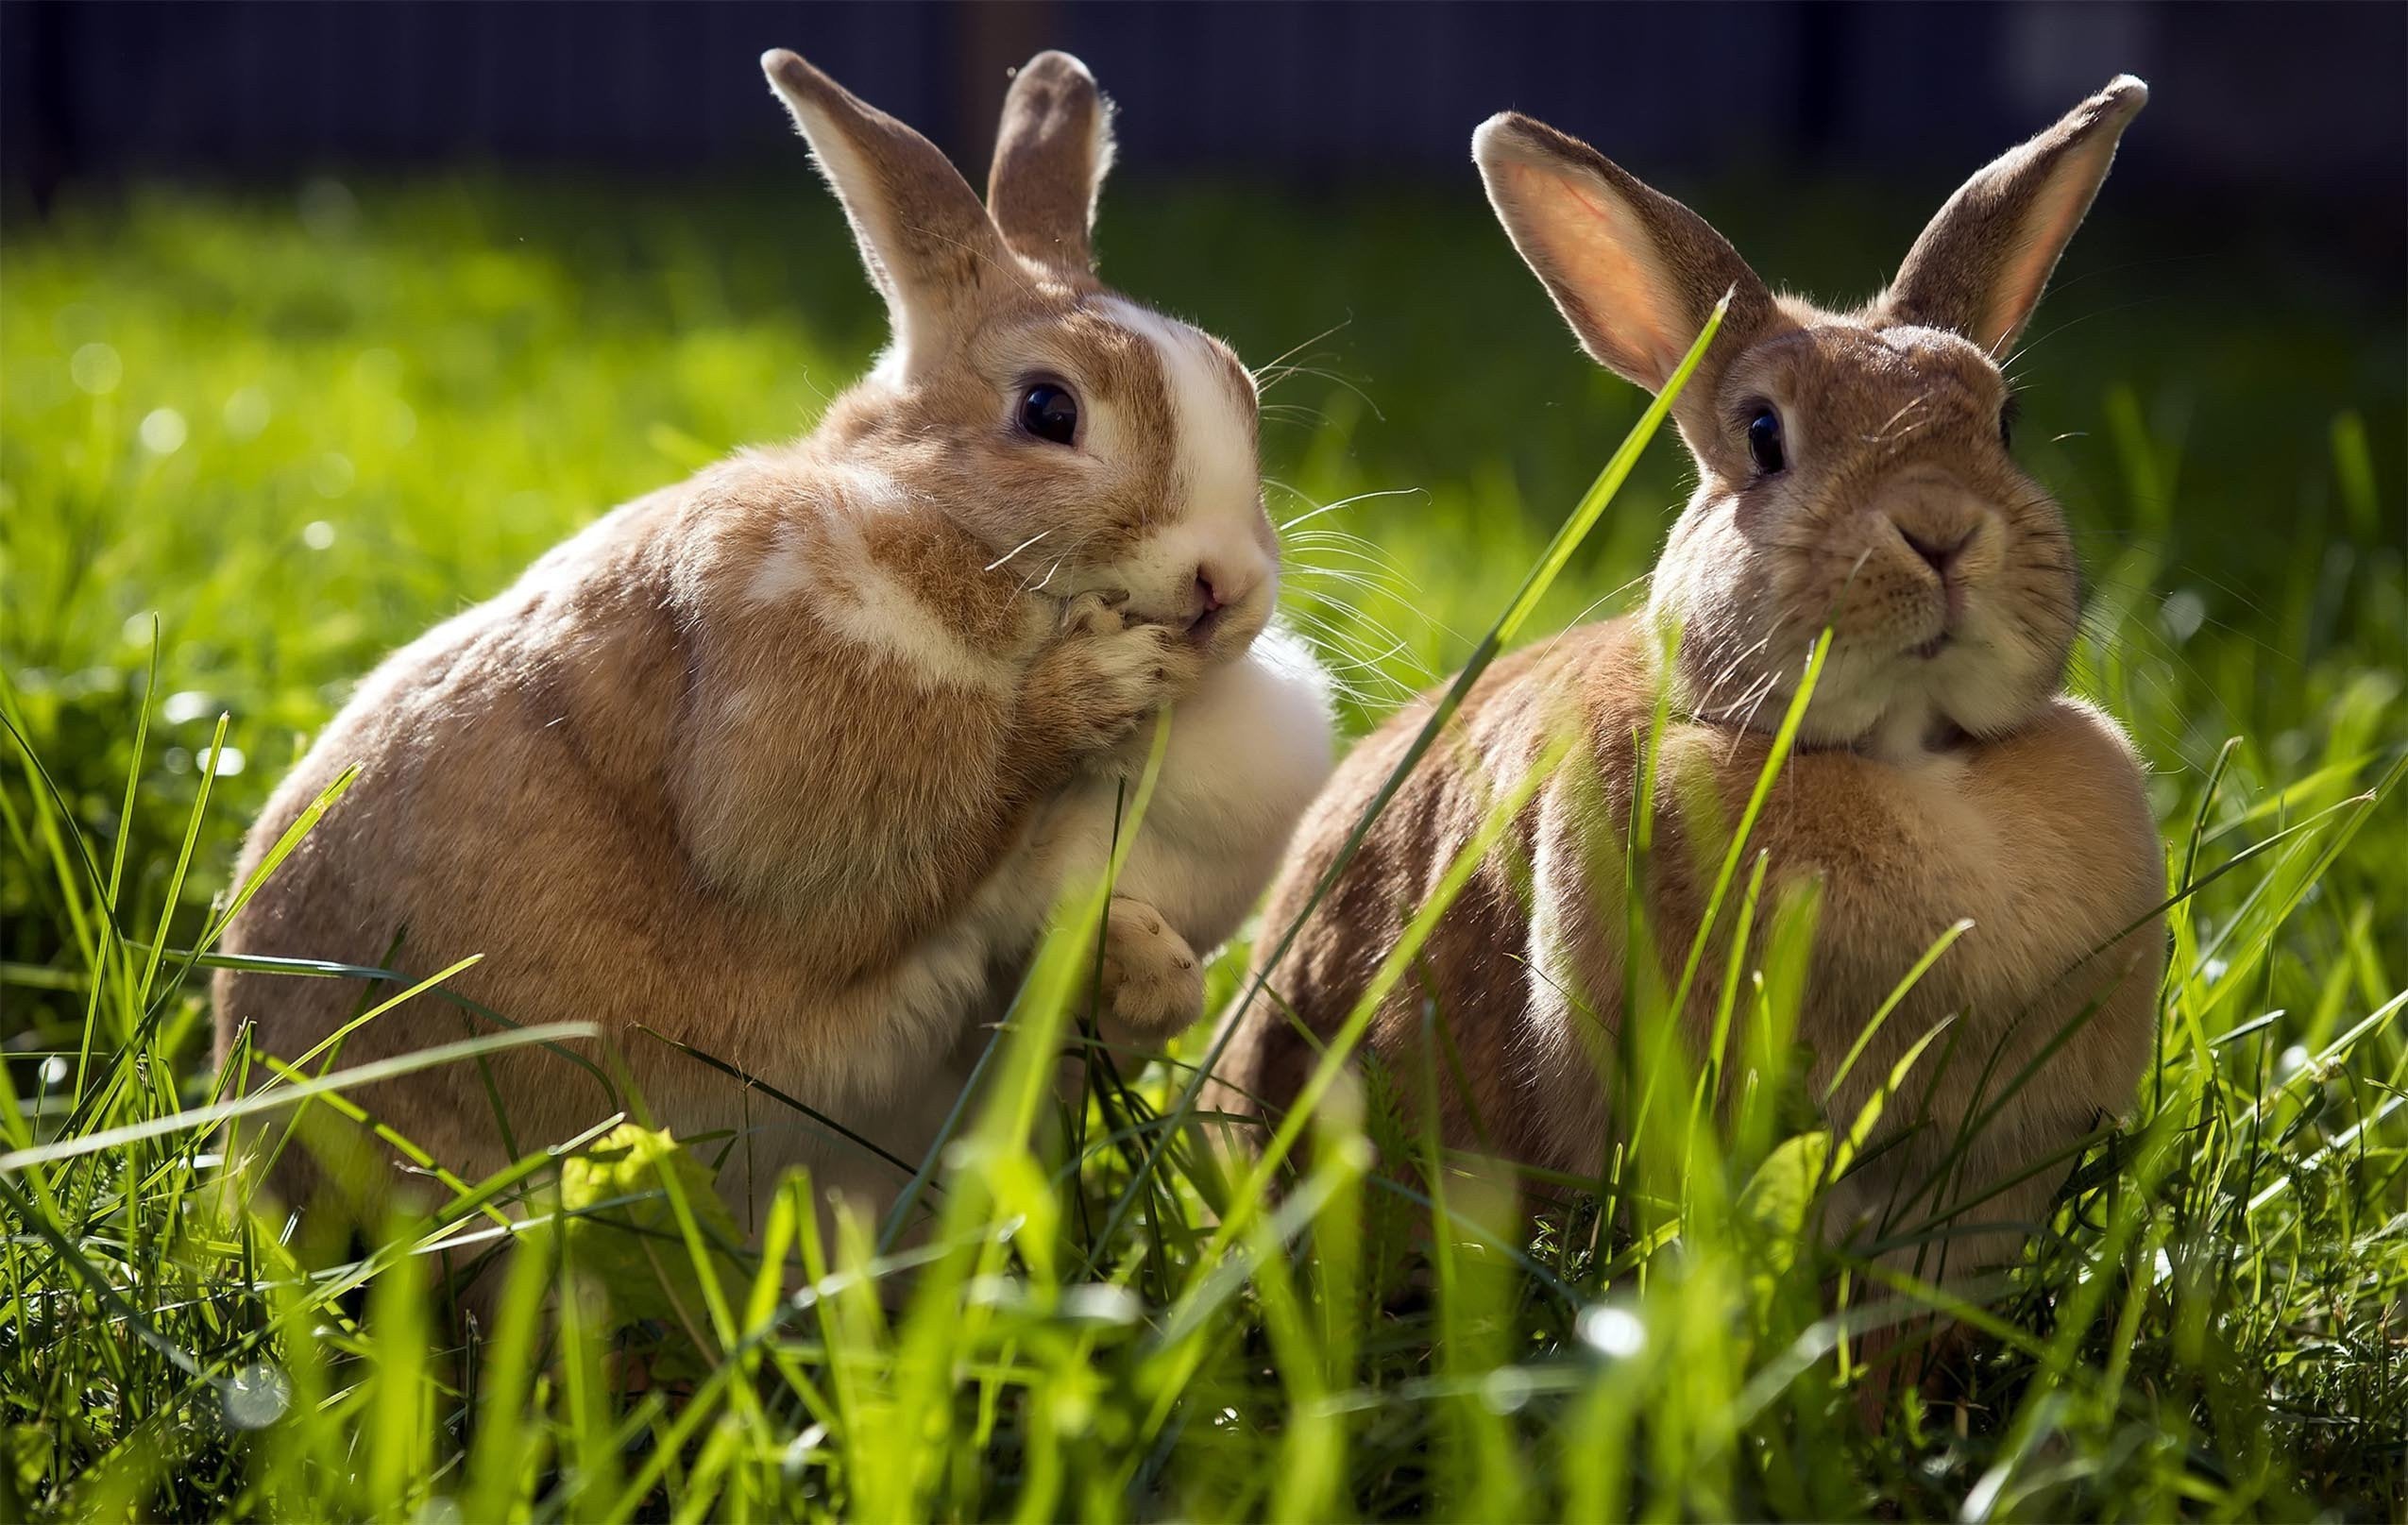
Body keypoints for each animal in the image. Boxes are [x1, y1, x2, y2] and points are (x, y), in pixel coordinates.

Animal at [212, 48, 1333, 1240]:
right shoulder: (797, 731)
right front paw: (1104, 687)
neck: (959, 539)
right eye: (1047, 409)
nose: (1226, 584)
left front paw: (1153, 971)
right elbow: (946, 813)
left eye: (1241, 388)